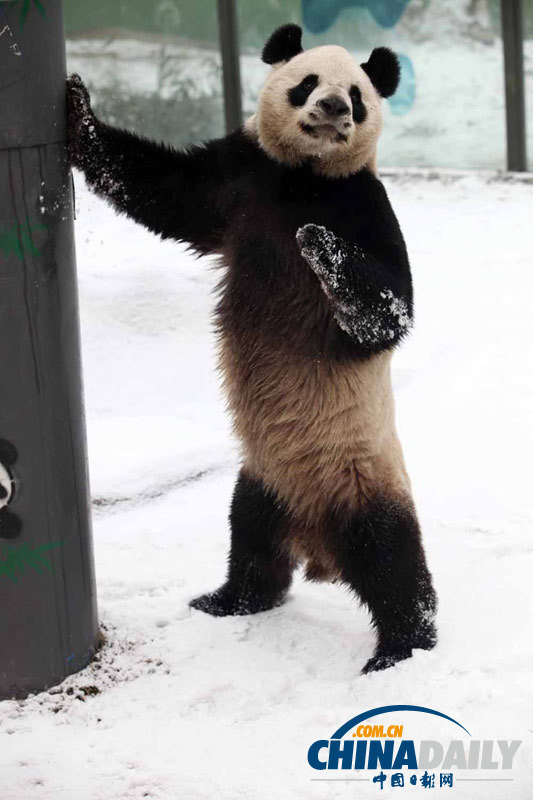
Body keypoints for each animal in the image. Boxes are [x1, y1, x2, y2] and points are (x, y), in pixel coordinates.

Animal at [67, 23, 437, 673]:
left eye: (357, 95)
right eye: (307, 83)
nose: (334, 109)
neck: (306, 177)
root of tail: (317, 541)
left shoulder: (364, 206)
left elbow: (391, 311)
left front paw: (319, 245)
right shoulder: (241, 178)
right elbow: (162, 189)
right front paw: (78, 107)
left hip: (365, 476)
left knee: (393, 563)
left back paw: (400, 650)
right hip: (265, 476)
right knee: (251, 540)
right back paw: (228, 600)